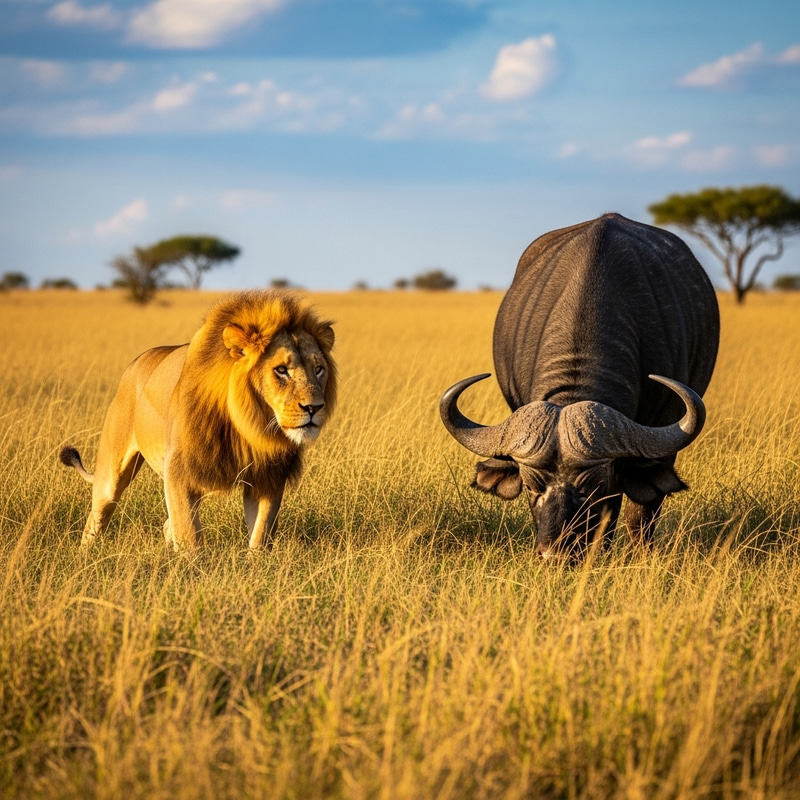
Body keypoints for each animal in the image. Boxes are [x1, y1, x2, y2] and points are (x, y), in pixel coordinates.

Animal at [60, 289, 337, 550]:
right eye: (281, 370)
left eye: (318, 369)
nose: (314, 407)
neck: (247, 426)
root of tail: (136, 362)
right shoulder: (179, 472)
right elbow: (189, 538)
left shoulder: (267, 478)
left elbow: (260, 535)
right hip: (112, 474)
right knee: (96, 519)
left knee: (167, 524)